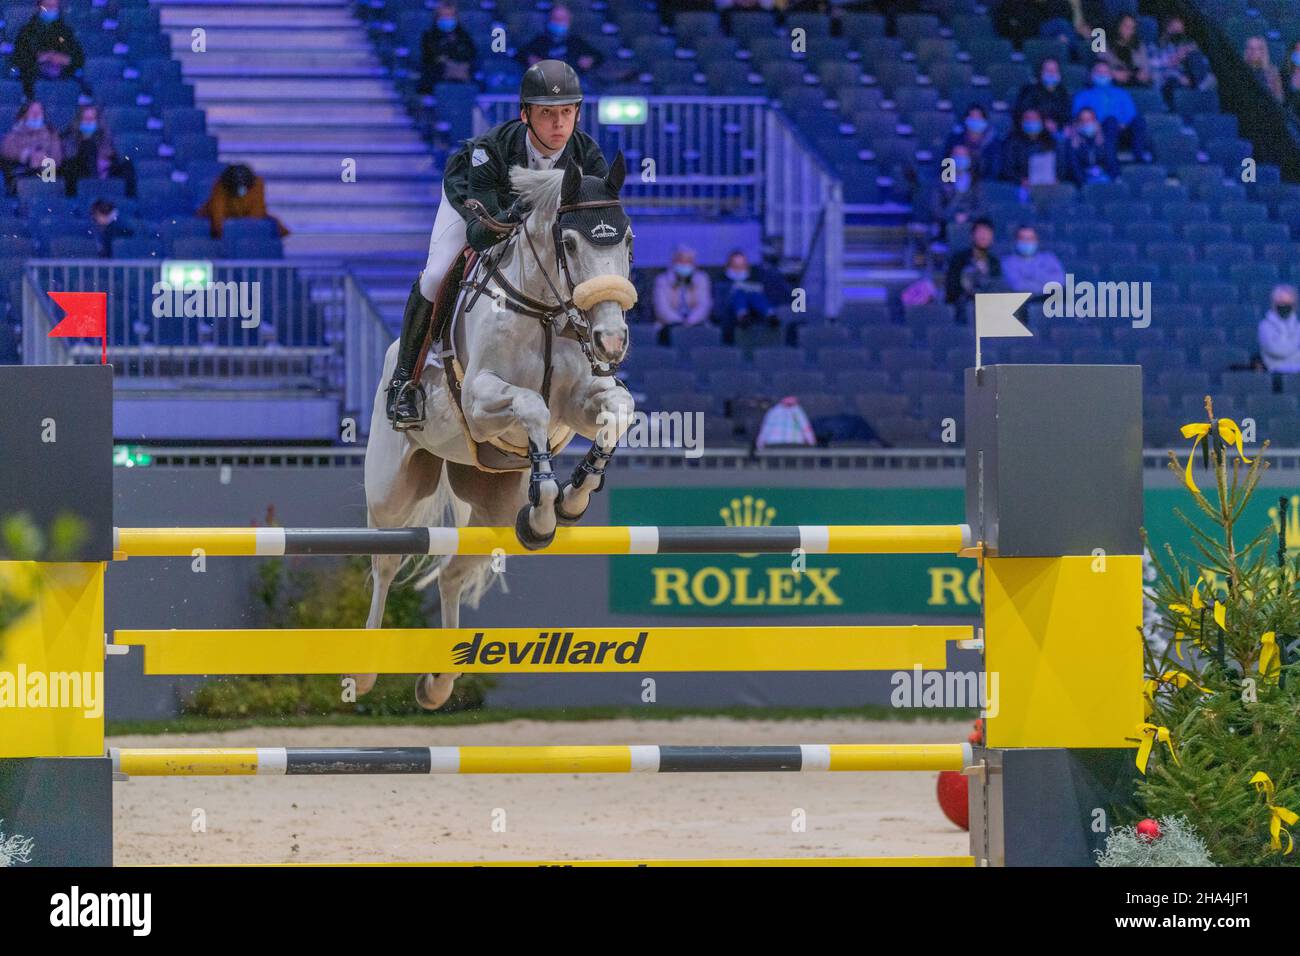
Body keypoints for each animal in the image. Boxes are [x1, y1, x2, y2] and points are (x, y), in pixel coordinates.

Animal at [358, 157, 637, 712]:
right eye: (570, 243)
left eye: (628, 241)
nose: (612, 342)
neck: (545, 310)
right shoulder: (480, 401)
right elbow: (530, 405)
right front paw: (548, 502)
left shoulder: (579, 402)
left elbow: (619, 409)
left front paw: (571, 499)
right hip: (393, 490)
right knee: (385, 561)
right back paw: (363, 674)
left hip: (492, 507)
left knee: (452, 573)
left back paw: (438, 683)